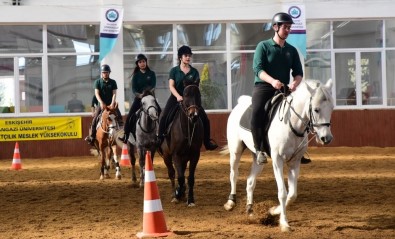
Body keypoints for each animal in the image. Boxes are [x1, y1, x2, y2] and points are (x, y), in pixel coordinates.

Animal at [223, 79, 334, 232]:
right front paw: (284, 223)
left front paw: (272, 211)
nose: (326, 138)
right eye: (316, 109)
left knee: (250, 181)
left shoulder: (295, 162)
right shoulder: (278, 161)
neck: (291, 125)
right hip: (236, 150)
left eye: (331, 109)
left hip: (258, 159)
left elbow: (292, 195)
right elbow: (282, 193)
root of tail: (240, 103)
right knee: (234, 174)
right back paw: (231, 202)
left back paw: (250, 210)